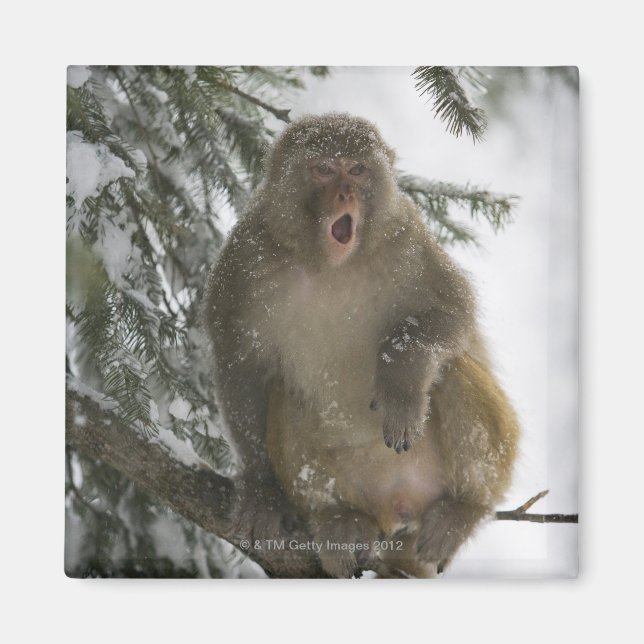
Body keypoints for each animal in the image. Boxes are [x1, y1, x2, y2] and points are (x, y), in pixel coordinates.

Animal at [203, 112, 519, 578]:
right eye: (323, 169)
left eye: (356, 170)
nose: (345, 193)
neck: (330, 266)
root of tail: (399, 504)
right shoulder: (244, 261)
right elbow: (241, 367)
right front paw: (262, 490)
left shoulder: (406, 238)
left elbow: (452, 311)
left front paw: (399, 384)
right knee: (285, 393)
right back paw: (339, 518)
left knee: (451, 371)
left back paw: (463, 507)